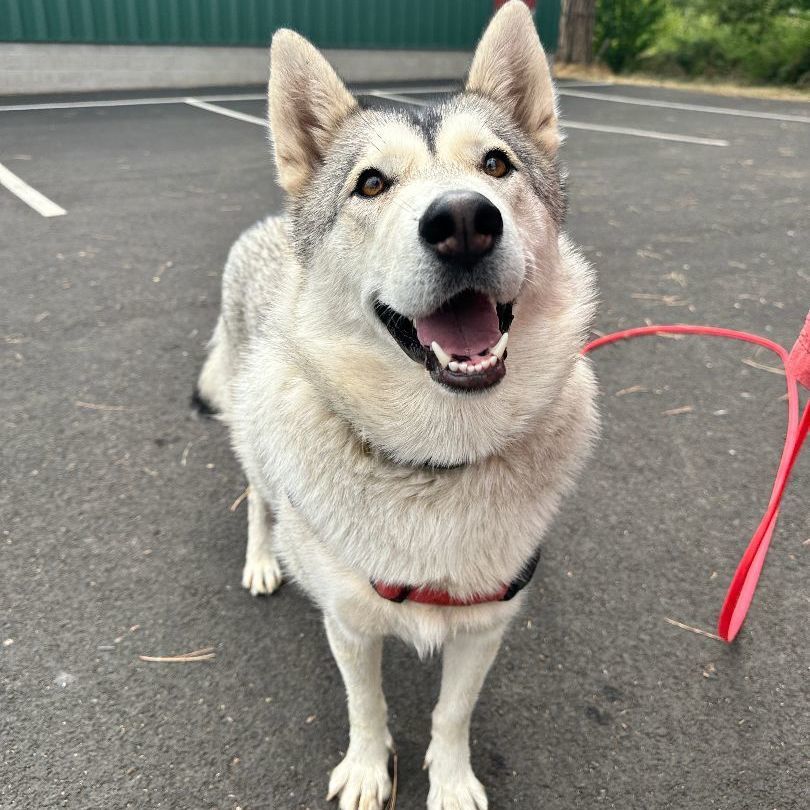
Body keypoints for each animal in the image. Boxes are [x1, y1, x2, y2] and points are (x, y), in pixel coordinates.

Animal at [197, 3, 592, 804]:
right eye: (372, 183)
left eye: (495, 165)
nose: (464, 221)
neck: (434, 458)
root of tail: (266, 226)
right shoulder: (349, 622)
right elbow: (366, 703)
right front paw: (365, 768)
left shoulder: (484, 625)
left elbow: (452, 714)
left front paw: (451, 779)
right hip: (253, 441)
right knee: (257, 499)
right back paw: (263, 559)